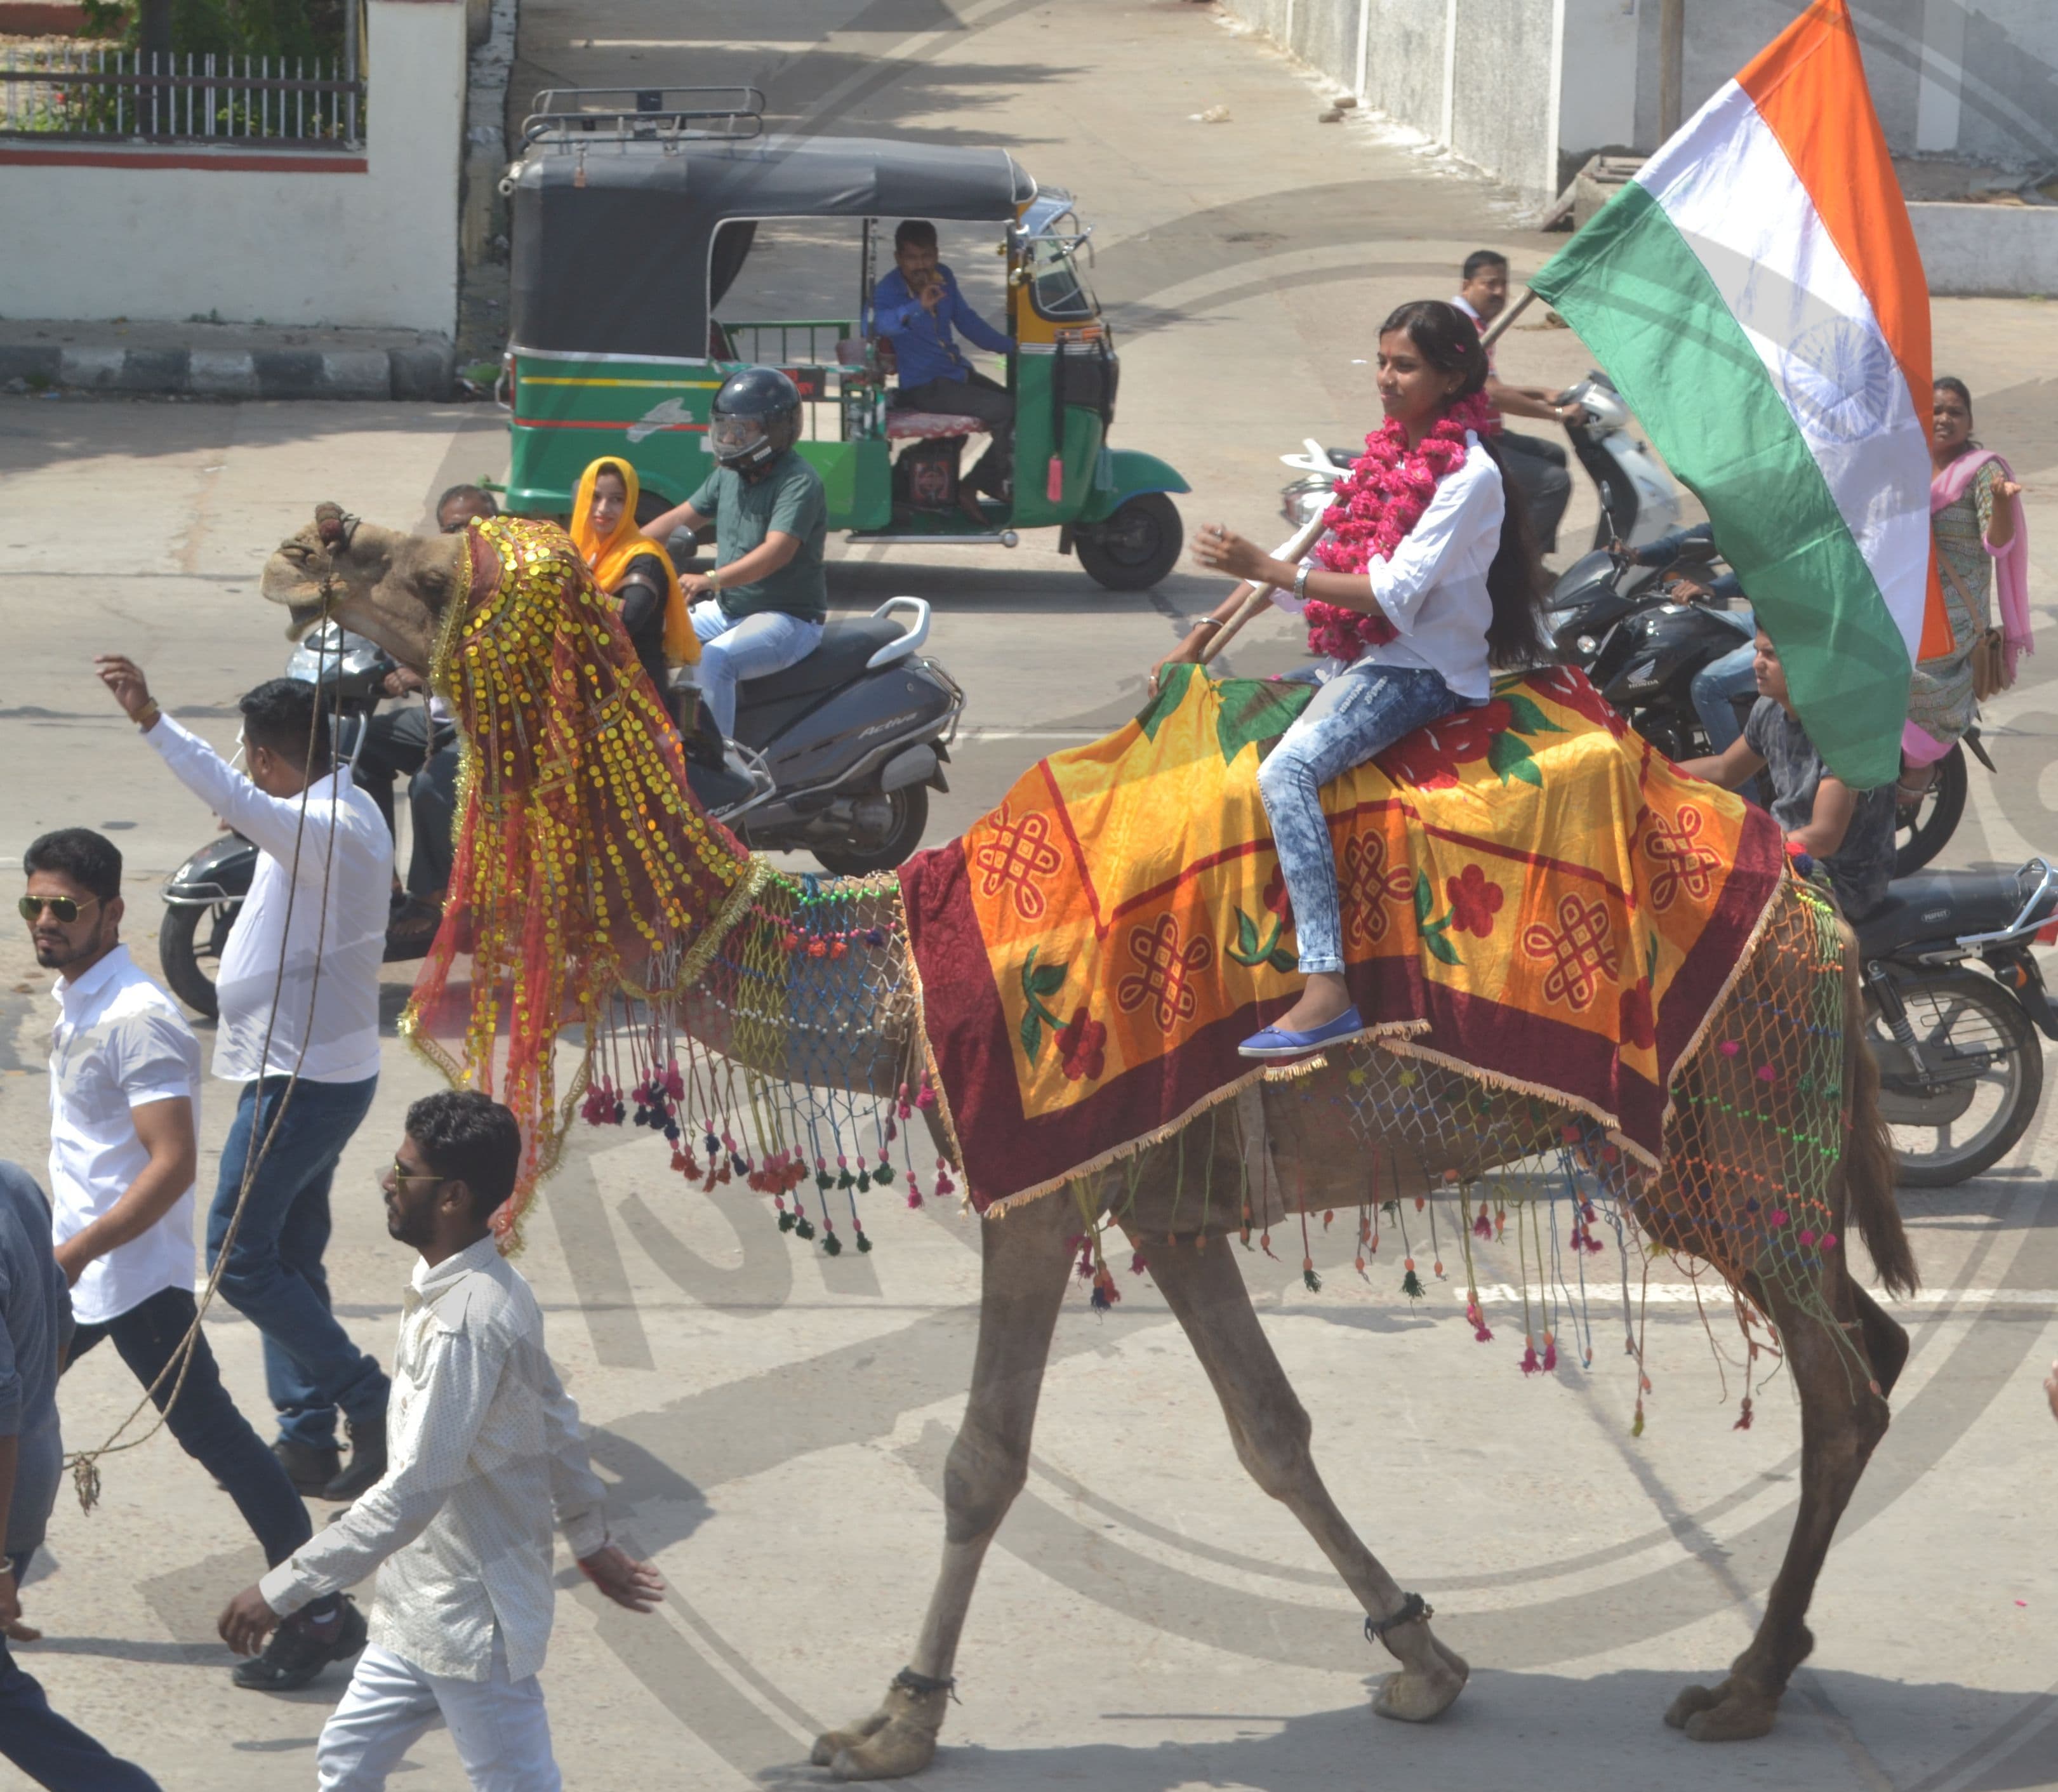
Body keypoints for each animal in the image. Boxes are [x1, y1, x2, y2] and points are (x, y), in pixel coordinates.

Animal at [265, 512, 1918, 1769]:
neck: (895, 971)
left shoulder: (1040, 1189)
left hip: (1721, 1140)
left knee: (1842, 1378)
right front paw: (1420, 1656)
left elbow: (983, 1461)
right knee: (1873, 1345)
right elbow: (1271, 1433)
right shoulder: (1166, 1202)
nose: (313, 547)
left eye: (434, 572)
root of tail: (1824, 914)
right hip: (1751, 1153)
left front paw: (892, 1721)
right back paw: (1772, 1652)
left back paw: (1744, 1682)